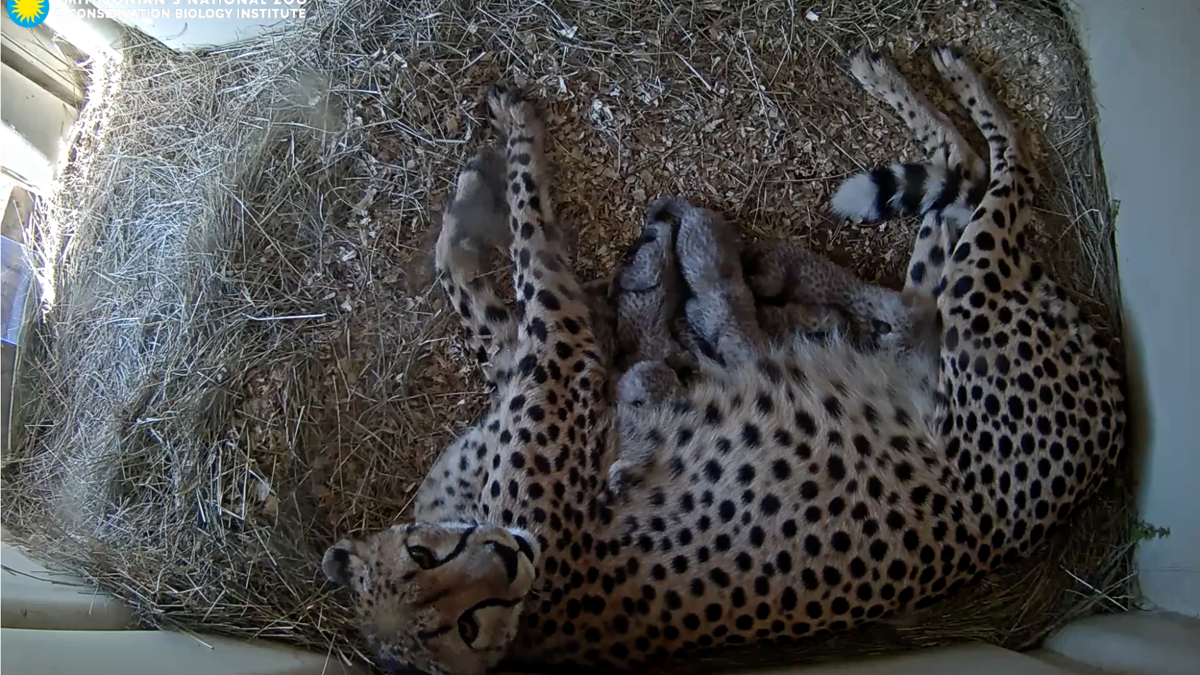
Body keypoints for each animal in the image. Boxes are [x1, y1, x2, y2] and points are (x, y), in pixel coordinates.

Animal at [321, 45, 1125, 675]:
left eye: (424, 557)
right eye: (465, 626)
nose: (508, 559)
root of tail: (1113, 437)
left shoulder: (548, 360)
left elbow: (488, 271)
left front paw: (480, 177)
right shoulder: (565, 360)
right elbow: (521, 262)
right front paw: (510, 145)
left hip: (962, 292)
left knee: (983, 168)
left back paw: (910, 72)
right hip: (960, 304)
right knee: (988, 183)